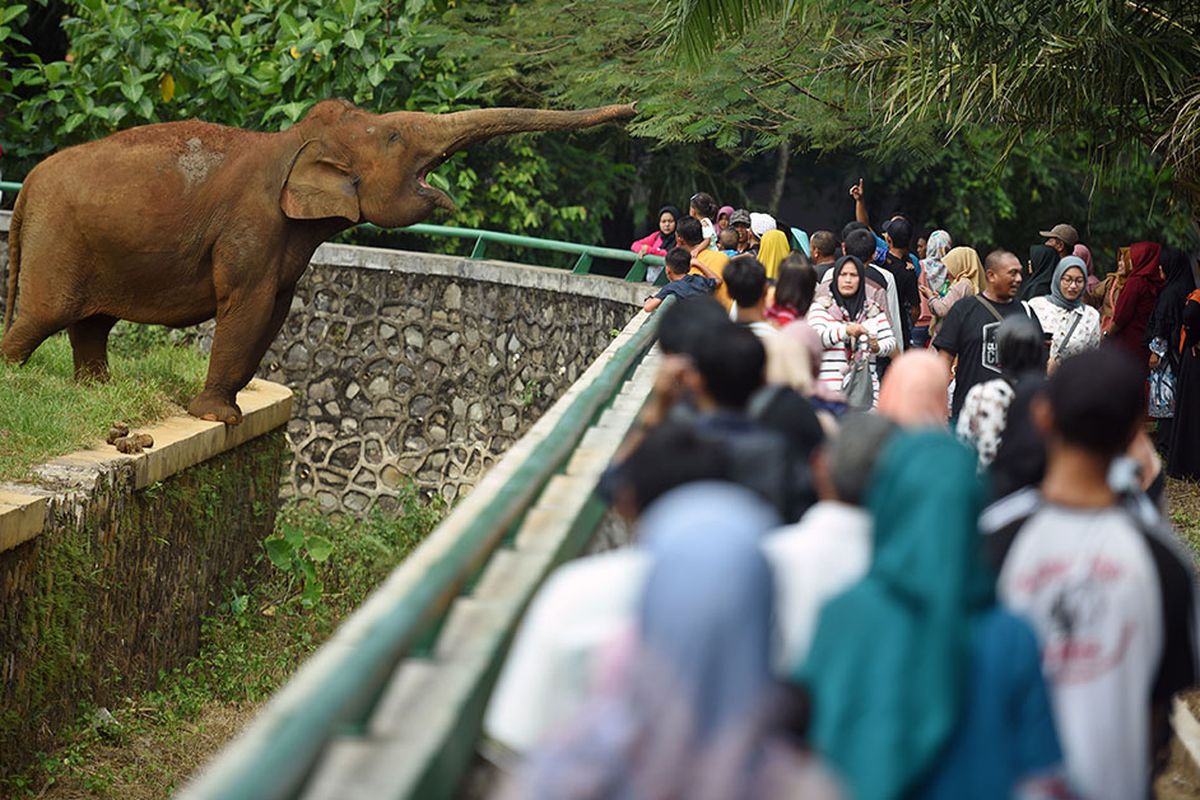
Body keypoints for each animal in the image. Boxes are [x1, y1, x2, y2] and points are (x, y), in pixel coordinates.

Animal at [2, 100, 638, 424]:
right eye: (396, 137)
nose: (631, 111)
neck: (292, 143)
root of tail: (28, 183)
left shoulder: (288, 245)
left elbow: (276, 311)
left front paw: (230, 409)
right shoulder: (252, 225)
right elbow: (247, 304)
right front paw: (218, 419)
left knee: (91, 324)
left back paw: (96, 392)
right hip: (56, 243)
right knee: (40, 318)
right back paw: (14, 380)